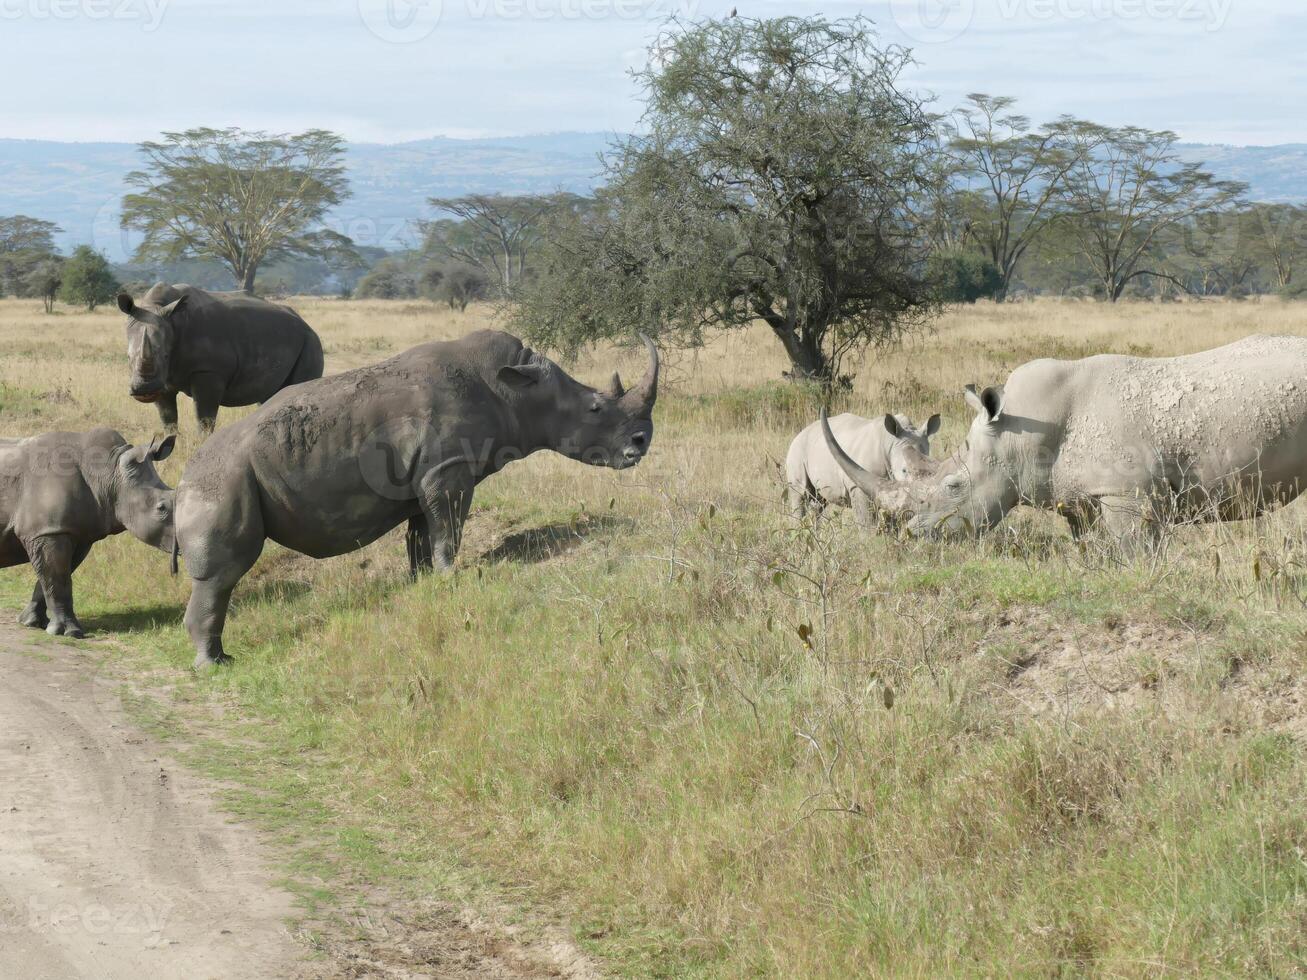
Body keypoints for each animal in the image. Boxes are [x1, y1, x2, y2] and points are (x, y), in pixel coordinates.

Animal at [0, 428, 177, 637]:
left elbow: (53, 577)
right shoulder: (48, 531)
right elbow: (58, 580)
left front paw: (32, 622)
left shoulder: (75, 532)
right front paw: (71, 632)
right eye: (162, 508)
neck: (109, 471)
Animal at [117, 283, 324, 436]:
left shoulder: (209, 370)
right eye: (127, 357)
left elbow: (205, 418)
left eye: (166, 355)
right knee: (270, 396)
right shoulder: (163, 380)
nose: (144, 391)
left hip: (310, 341)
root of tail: (306, 324)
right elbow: (168, 419)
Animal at [179, 330, 658, 669]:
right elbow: (450, 529)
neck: (519, 390)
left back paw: (219, 659)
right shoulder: (448, 469)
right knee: (222, 573)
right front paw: (452, 578)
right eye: (595, 409)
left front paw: (423, 583)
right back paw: (213, 666)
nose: (641, 443)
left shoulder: (425, 476)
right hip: (224, 478)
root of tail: (182, 477)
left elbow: (422, 537)